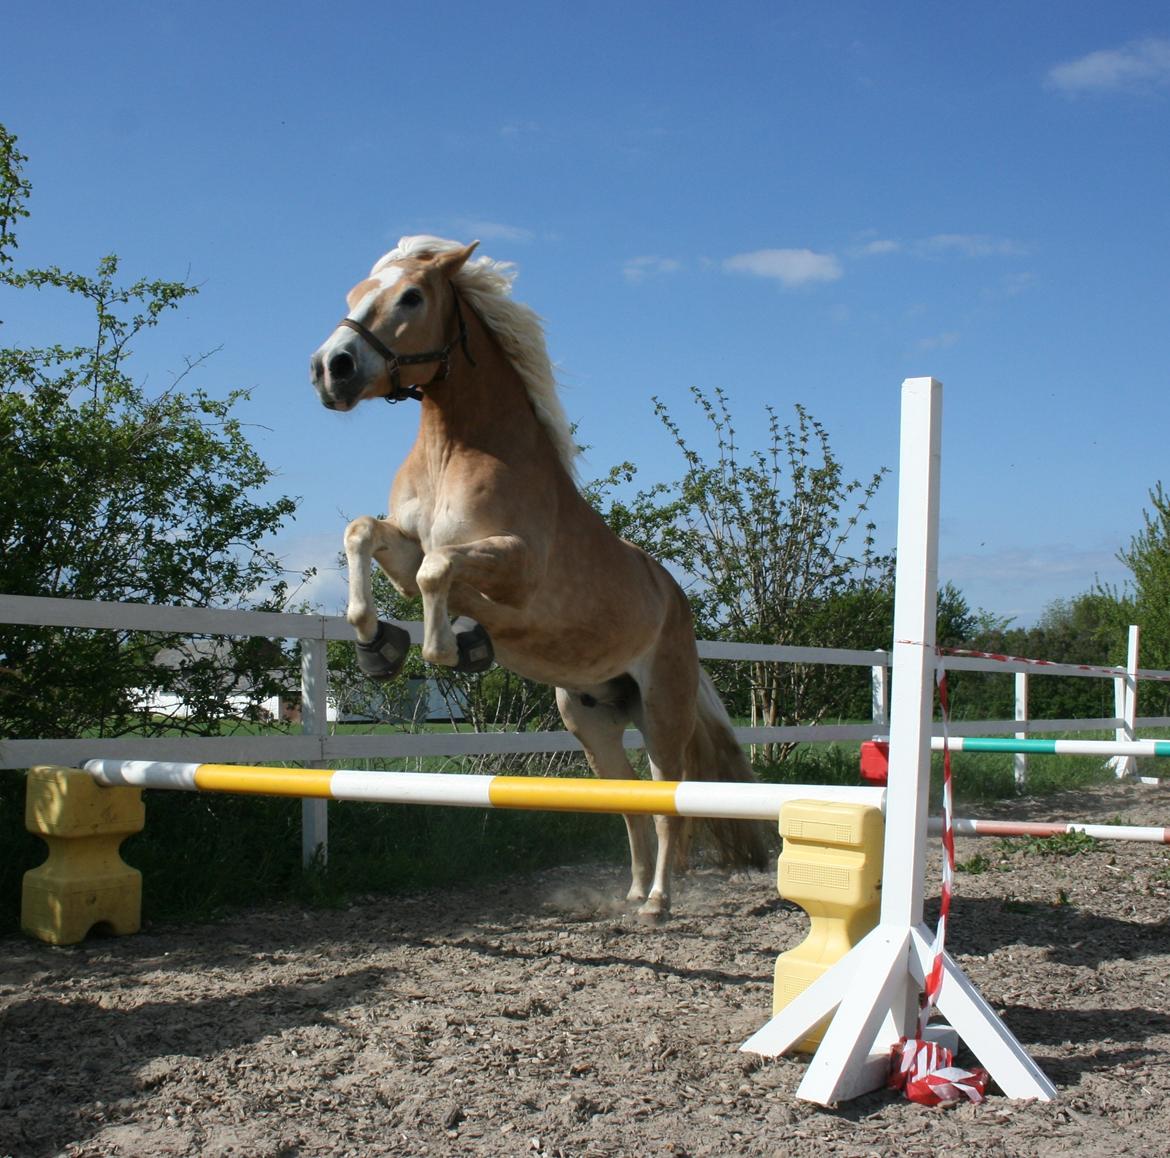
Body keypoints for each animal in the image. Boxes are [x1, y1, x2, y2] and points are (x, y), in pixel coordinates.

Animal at [311, 237, 772, 926]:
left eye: (412, 296)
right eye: (353, 293)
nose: (330, 368)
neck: (454, 451)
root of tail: (678, 606)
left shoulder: (516, 568)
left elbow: (439, 574)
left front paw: (454, 647)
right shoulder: (406, 545)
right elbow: (365, 536)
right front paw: (379, 647)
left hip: (663, 714)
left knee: (668, 801)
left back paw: (657, 902)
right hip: (592, 722)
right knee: (629, 801)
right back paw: (632, 891)